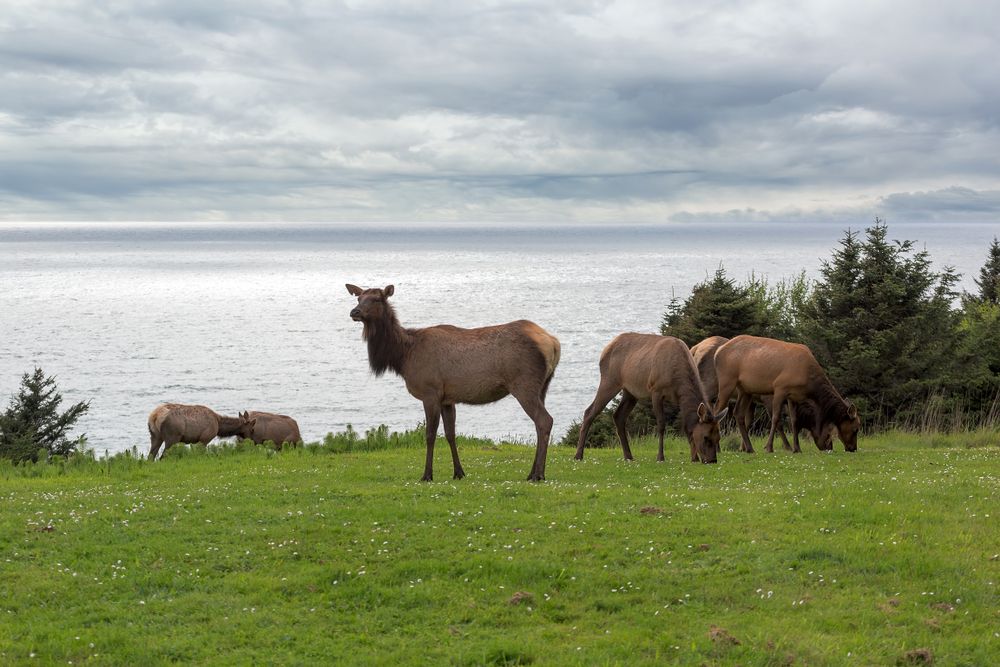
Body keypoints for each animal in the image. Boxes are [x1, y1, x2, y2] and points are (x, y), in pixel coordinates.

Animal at [346, 284, 561, 481]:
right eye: (359, 298)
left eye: (377, 299)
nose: (354, 312)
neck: (403, 356)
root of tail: (553, 343)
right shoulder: (447, 398)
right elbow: (450, 434)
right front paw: (459, 472)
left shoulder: (430, 392)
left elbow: (430, 435)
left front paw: (427, 475)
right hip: (543, 386)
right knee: (539, 423)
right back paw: (532, 473)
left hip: (524, 384)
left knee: (544, 420)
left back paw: (538, 475)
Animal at [574, 333, 727, 464]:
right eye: (706, 437)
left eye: (718, 437)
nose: (712, 460)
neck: (678, 380)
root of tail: (605, 350)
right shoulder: (656, 390)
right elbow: (661, 425)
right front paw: (660, 457)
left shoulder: (678, 399)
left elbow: (687, 426)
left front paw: (694, 458)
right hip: (609, 381)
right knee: (589, 411)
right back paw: (578, 455)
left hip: (630, 391)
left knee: (618, 416)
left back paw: (628, 456)